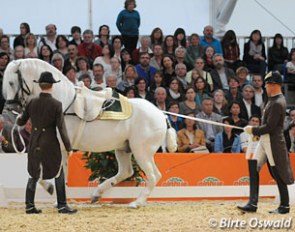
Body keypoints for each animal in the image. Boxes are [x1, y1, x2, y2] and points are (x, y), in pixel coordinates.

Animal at [2, 59, 178, 208]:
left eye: (11, 82)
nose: (10, 109)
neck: (63, 101)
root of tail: (160, 114)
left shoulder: (59, 147)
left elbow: (56, 174)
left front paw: (55, 195)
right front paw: (54, 195)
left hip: (142, 151)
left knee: (154, 175)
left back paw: (137, 202)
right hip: (124, 149)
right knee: (126, 172)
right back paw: (97, 194)